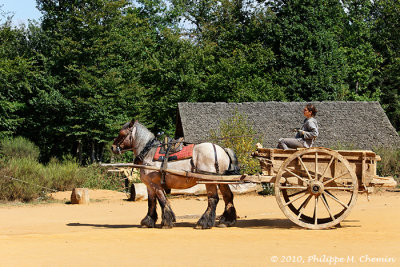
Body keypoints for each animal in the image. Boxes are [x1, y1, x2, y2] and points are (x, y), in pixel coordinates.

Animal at [111, 120, 239, 229]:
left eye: (121, 133)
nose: (112, 147)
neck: (149, 153)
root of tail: (222, 150)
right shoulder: (149, 185)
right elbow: (151, 202)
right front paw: (148, 221)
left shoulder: (156, 185)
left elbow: (162, 201)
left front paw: (167, 222)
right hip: (221, 180)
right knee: (228, 196)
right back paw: (226, 221)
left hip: (210, 181)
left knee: (213, 199)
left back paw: (203, 222)